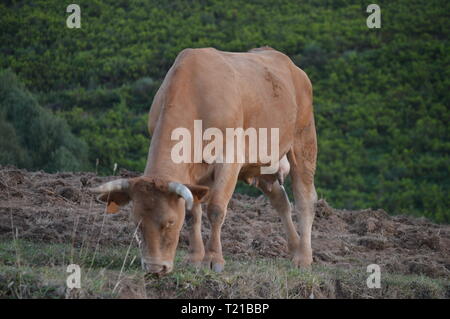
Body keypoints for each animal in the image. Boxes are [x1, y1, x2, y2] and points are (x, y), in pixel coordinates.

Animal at [90, 47, 316, 276]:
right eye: (136, 223)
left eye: (170, 222)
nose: (154, 268)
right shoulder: (190, 172)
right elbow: (193, 212)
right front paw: (195, 257)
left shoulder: (230, 159)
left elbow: (215, 208)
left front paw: (213, 258)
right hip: (262, 165)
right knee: (281, 200)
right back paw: (294, 247)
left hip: (303, 139)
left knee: (305, 198)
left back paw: (303, 257)